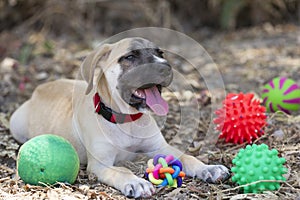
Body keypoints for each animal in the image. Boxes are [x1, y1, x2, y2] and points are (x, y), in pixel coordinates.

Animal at [9, 38, 230, 198]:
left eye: (160, 53)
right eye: (130, 56)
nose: (165, 67)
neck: (127, 120)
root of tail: (40, 87)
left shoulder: (160, 147)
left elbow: (187, 157)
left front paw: (209, 168)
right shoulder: (100, 164)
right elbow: (121, 171)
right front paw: (136, 182)